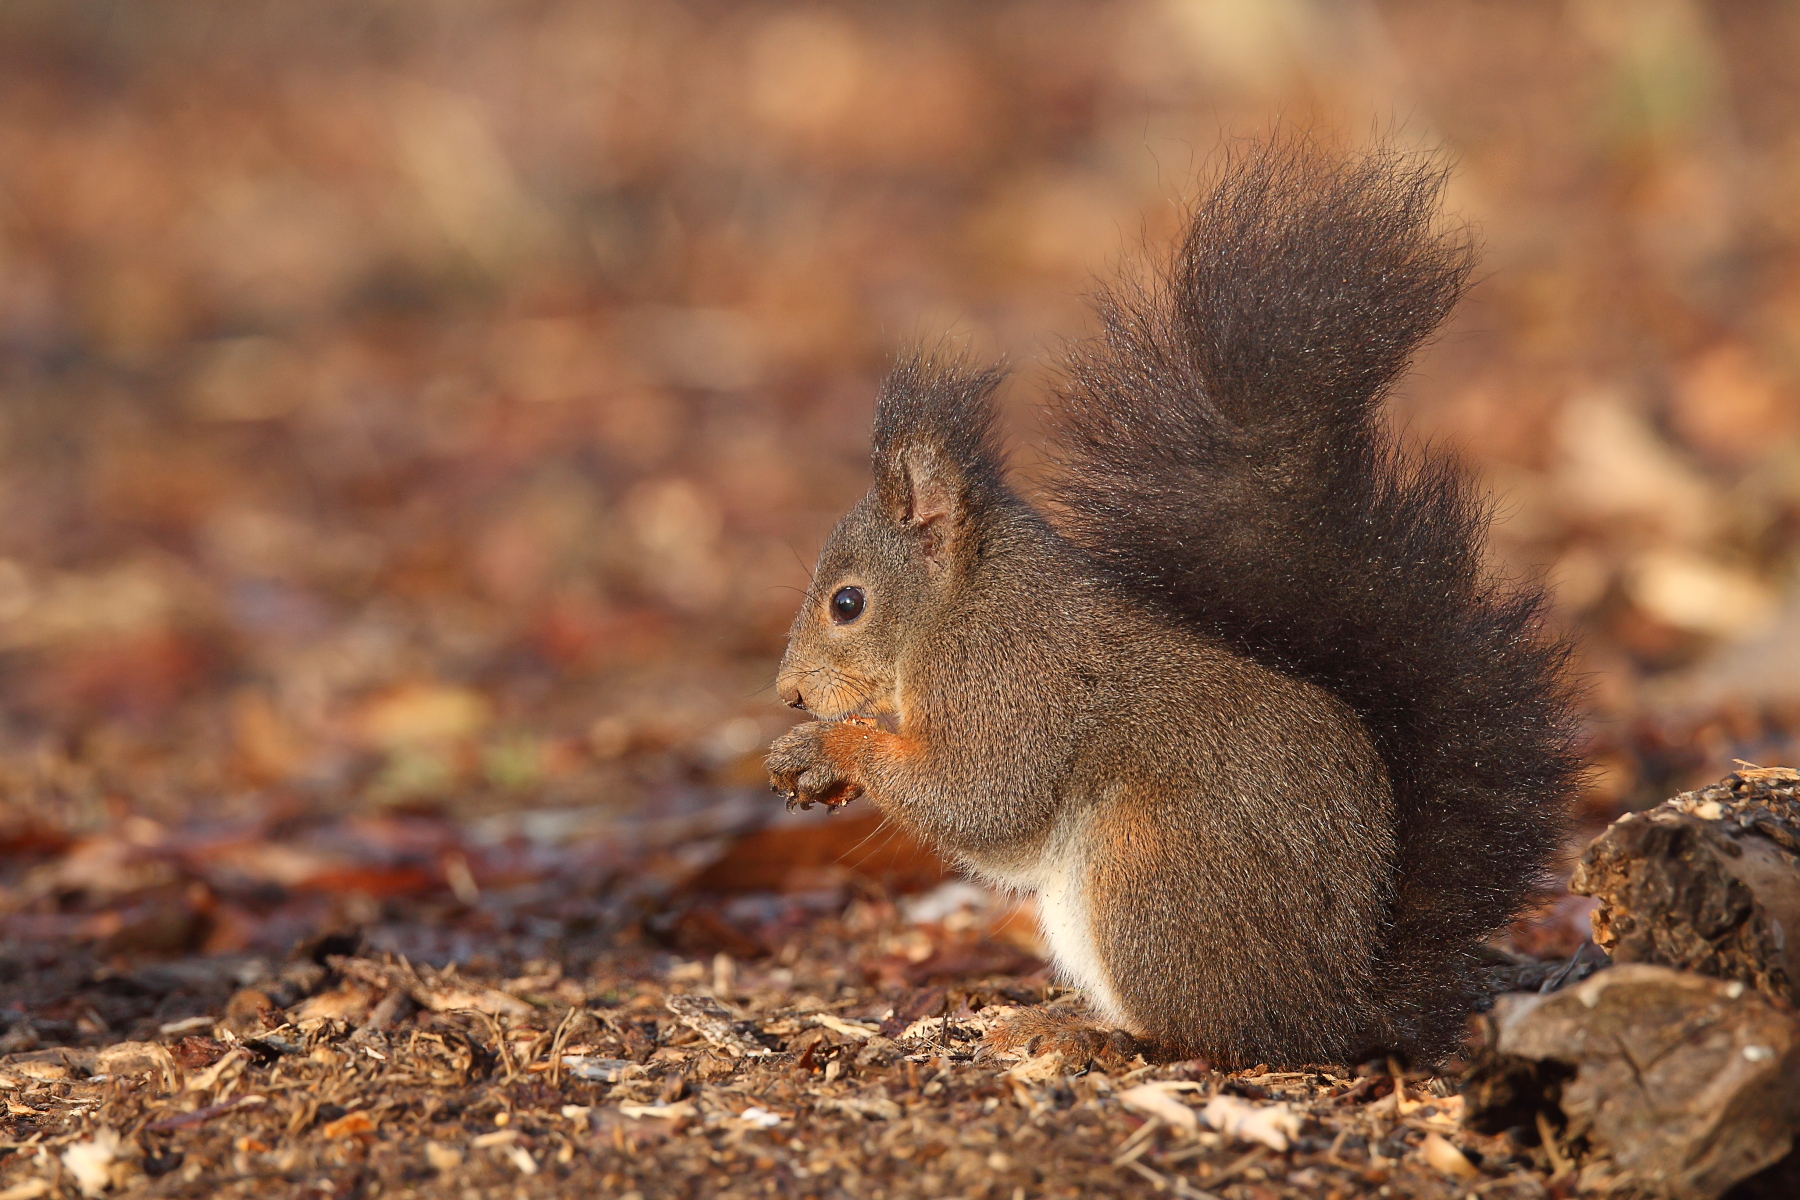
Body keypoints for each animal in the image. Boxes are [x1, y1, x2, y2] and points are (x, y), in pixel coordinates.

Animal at [766, 141, 1583, 1068]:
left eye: (848, 602)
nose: (789, 694)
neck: (960, 606)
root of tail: (1336, 1009)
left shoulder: (1007, 683)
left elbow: (981, 794)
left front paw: (829, 745)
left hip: (1149, 870)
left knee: (1198, 1033)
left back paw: (1082, 1030)